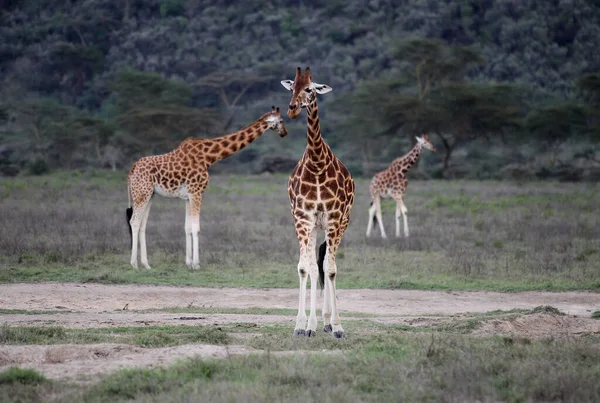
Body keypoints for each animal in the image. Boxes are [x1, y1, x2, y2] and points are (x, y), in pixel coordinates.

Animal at [125, 107, 288, 272]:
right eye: (281, 121)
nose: (285, 133)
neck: (209, 157)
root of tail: (132, 170)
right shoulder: (197, 192)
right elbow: (196, 228)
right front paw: (196, 264)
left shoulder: (188, 196)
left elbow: (187, 227)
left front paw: (189, 263)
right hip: (141, 193)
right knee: (134, 222)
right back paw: (134, 264)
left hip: (149, 194)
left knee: (142, 224)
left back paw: (146, 264)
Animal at [282, 68, 356, 340]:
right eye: (292, 87)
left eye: (310, 89)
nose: (292, 108)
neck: (316, 164)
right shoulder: (303, 218)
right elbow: (306, 268)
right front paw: (302, 325)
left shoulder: (334, 217)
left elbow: (330, 269)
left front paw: (338, 326)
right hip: (316, 226)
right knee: (317, 266)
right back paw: (316, 323)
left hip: (342, 223)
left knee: (327, 264)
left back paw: (327, 322)